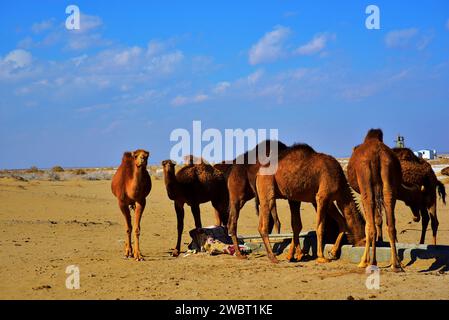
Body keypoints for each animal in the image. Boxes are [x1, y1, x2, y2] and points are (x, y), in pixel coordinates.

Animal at [346, 129, 410, 272]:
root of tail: (378, 155)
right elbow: (379, 219)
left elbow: (368, 224)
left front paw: (363, 261)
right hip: (389, 176)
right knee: (391, 224)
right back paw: (395, 264)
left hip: (366, 183)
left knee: (371, 226)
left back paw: (371, 262)